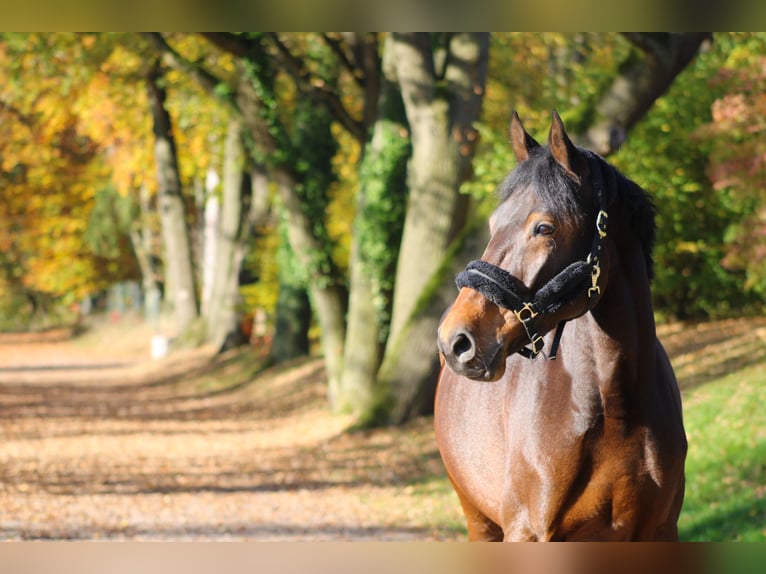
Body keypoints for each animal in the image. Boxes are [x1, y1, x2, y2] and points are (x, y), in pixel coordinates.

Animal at [438, 110, 688, 544]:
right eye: (493, 223)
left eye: (544, 228)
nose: (457, 341)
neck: (616, 408)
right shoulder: (527, 533)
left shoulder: (658, 531)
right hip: (479, 522)